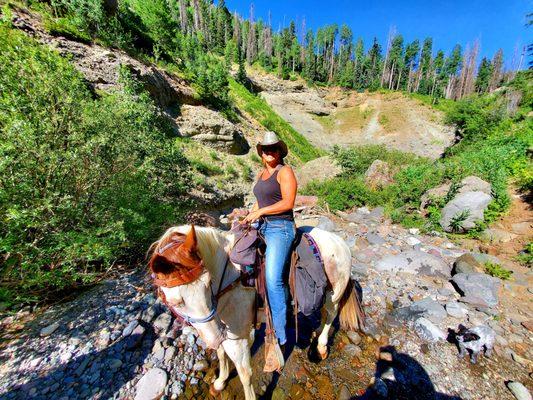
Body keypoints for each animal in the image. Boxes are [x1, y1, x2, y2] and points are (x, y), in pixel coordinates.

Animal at [149, 225, 366, 400]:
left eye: (208, 282)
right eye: (175, 301)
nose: (214, 338)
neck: (231, 279)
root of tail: (340, 242)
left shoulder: (237, 337)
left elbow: (245, 373)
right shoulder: (221, 330)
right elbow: (220, 353)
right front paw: (220, 382)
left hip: (333, 293)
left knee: (331, 315)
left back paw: (321, 346)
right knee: (322, 314)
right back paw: (316, 334)